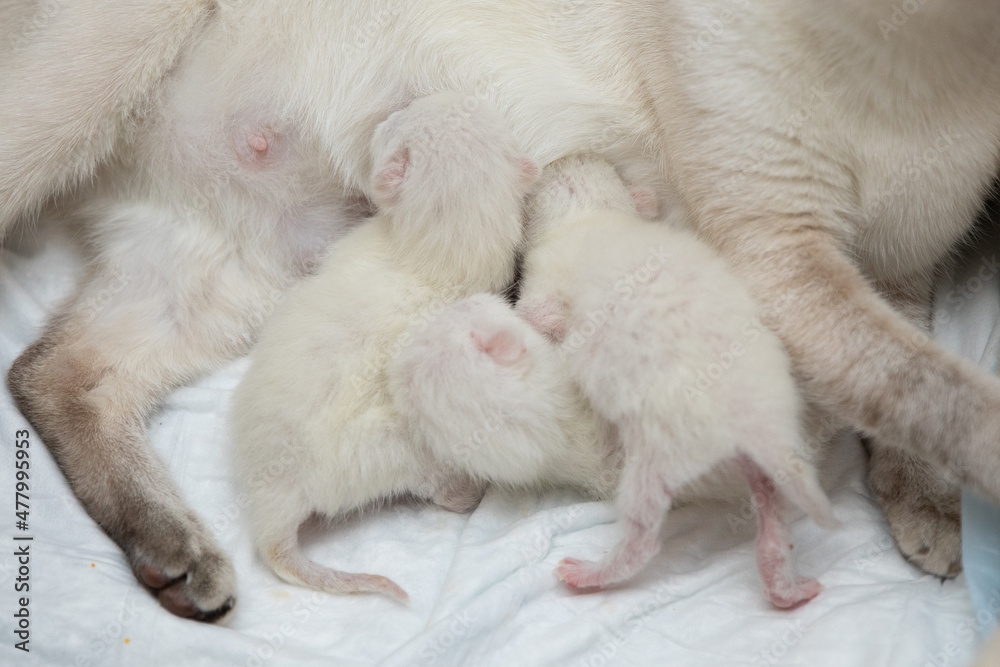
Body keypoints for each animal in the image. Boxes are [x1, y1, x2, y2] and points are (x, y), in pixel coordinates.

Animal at [230, 92, 540, 600]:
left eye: (395, 124)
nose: (404, 101)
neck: (446, 253)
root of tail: (276, 504)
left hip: (393, 451)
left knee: (440, 491)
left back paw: (468, 493)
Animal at [516, 158, 836, 612]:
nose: (566, 157)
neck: (592, 212)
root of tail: (756, 421)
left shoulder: (548, 276)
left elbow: (539, 315)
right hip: (764, 453)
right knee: (770, 506)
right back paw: (783, 581)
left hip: (662, 449)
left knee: (644, 526)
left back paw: (594, 572)